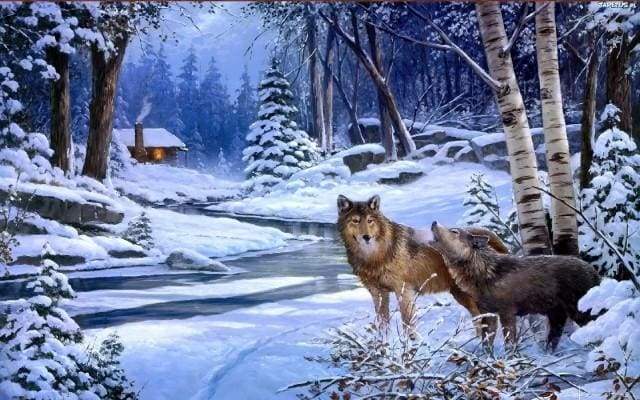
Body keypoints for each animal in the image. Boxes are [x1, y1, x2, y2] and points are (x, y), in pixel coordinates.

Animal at [336, 194, 509, 333]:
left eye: (370, 221)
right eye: (355, 221)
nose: (366, 237)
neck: (374, 256)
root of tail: (488, 234)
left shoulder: (404, 291)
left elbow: (408, 325)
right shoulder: (377, 293)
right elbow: (383, 324)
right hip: (461, 296)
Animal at [430, 222, 600, 350]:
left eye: (454, 231)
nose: (433, 222)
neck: (483, 274)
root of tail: (594, 271)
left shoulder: (507, 312)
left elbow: (509, 344)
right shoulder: (488, 314)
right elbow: (486, 344)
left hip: (578, 313)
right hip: (556, 316)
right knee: (553, 341)